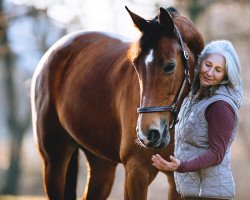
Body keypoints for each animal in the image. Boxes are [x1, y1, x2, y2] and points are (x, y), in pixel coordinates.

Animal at [30, 6, 203, 200]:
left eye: (170, 66)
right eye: (136, 66)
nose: (147, 134)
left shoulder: (177, 180)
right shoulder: (136, 170)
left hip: (101, 165)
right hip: (54, 161)